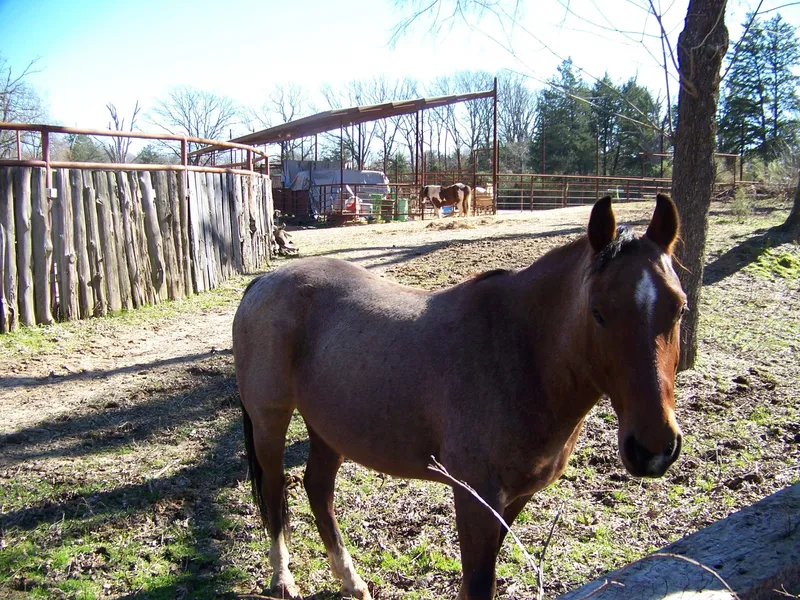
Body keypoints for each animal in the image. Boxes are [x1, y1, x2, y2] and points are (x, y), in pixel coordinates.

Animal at [233, 194, 686, 600]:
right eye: (598, 312)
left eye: (679, 308)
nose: (653, 448)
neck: (520, 352)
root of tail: (264, 282)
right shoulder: (474, 498)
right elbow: (480, 584)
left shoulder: (511, 500)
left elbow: (473, 583)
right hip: (271, 423)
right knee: (274, 490)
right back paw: (283, 578)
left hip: (328, 428)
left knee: (318, 489)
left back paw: (351, 580)